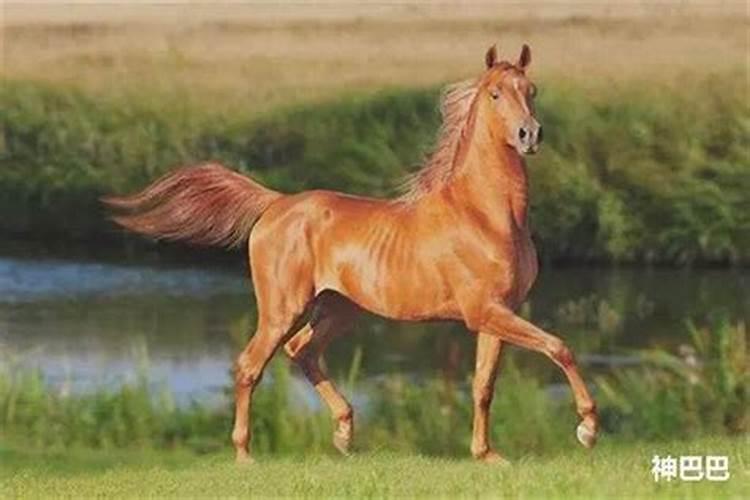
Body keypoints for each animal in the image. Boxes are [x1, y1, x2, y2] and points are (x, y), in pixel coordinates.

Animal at [104, 44, 598, 464]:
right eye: (496, 93)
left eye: (531, 91)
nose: (530, 134)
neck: (485, 214)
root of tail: (276, 204)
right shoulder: (485, 311)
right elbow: (560, 347)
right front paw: (587, 429)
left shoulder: (496, 313)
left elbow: (483, 386)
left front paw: (487, 455)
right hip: (283, 308)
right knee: (250, 365)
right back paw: (246, 454)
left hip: (340, 308)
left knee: (302, 352)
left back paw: (344, 433)